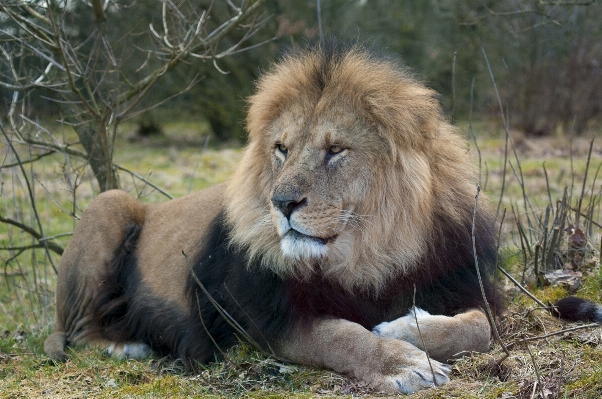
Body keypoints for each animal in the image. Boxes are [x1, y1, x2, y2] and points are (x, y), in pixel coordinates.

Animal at [43, 43, 502, 394]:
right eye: (281, 148)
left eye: (335, 150)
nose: (280, 202)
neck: (370, 254)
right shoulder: (262, 319)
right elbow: (340, 337)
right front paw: (403, 363)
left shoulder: (458, 280)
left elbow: (480, 327)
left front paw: (404, 326)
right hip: (109, 203)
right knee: (78, 332)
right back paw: (126, 346)